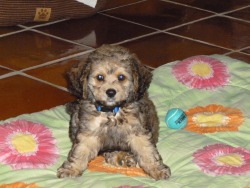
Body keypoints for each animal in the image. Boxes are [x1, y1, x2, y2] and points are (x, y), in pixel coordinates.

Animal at [57, 44, 170, 180]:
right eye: (100, 77)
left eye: (121, 77)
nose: (111, 92)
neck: (112, 112)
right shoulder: (88, 132)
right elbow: (80, 151)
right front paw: (71, 169)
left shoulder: (138, 131)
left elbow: (147, 151)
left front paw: (157, 169)